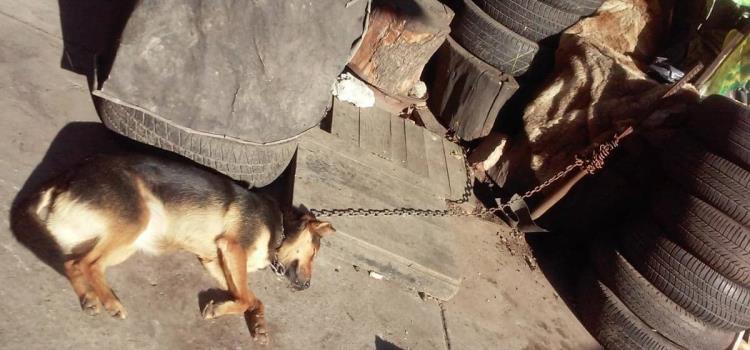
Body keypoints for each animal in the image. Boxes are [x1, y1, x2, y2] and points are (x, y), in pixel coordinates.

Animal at [16, 154, 334, 344]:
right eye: (315, 253)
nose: (307, 287)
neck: (279, 225)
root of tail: (62, 181)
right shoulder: (232, 248)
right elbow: (245, 298)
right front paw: (219, 310)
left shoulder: (216, 260)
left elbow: (254, 299)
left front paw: (259, 326)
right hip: (136, 218)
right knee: (87, 264)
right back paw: (111, 303)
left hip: (128, 241)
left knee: (74, 263)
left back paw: (91, 298)